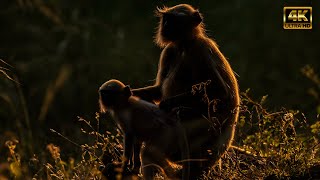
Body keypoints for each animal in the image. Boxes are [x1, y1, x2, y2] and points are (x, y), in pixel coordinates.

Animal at [132, 3, 240, 179]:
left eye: (173, 20)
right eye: (166, 19)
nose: (165, 26)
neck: (185, 45)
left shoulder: (203, 49)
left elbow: (222, 94)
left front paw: (167, 105)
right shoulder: (169, 51)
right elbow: (158, 91)